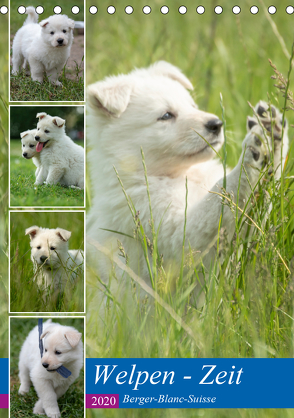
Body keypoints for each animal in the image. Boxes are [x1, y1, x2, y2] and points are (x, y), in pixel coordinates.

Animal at [87, 61, 290, 304]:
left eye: (192, 105)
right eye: (166, 115)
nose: (216, 124)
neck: (179, 174)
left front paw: (270, 130)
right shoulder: (158, 224)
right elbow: (217, 203)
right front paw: (254, 152)